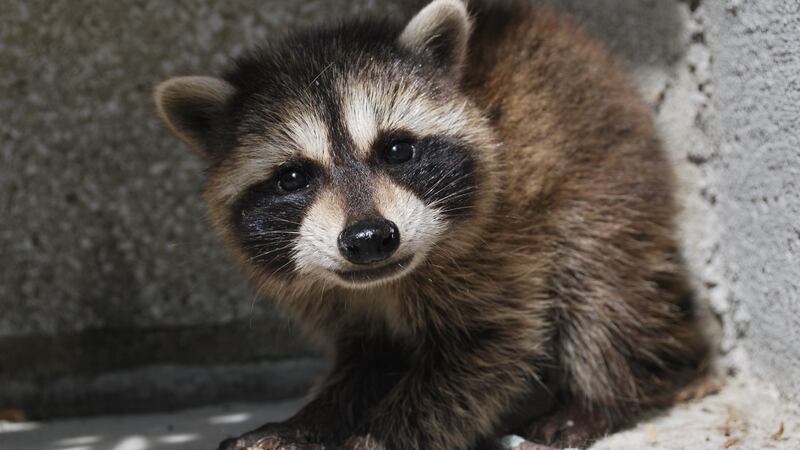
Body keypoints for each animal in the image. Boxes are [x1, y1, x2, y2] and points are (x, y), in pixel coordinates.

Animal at [154, 0, 709, 449]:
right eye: (293, 177)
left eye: (398, 149)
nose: (369, 239)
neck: (382, 284)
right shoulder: (340, 298)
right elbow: (367, 362)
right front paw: (308, 422)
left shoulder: (497, 252)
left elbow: (482, 353)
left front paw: (381, 436)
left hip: (608, 177)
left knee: (601, 288)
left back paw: (597, 398)